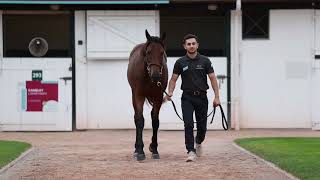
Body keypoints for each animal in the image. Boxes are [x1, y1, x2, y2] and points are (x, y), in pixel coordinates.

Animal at [127, 30, 169, 161]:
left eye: (162, 52)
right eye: (148, 52)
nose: (155, 75)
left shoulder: (158, 96)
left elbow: (155, 121)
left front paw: (154, 149)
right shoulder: (138, 95)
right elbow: (140, 120)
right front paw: (140, 151)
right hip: (133, 95)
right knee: (136, 117)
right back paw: (136, 149)